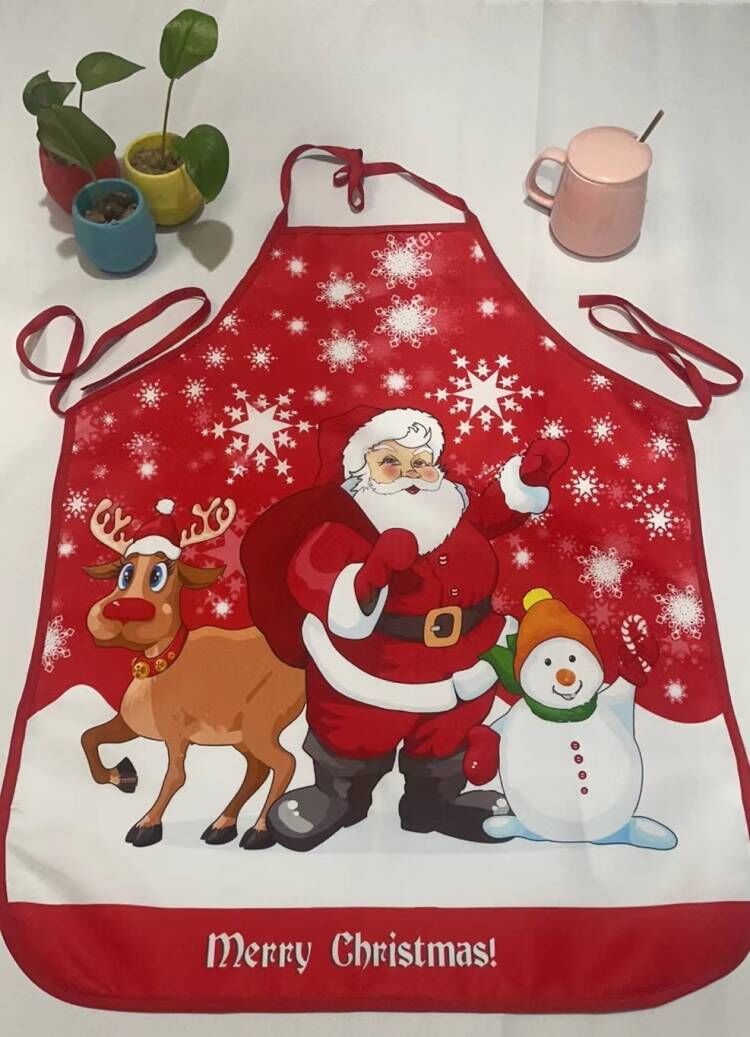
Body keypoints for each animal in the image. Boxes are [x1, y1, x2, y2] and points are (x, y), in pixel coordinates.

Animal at [81, 495, 305, 850]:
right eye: (125, 573)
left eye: (159, 574)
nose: (122, 612)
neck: (161, 666)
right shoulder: (129, 723)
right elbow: (89, 738)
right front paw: (122, 775)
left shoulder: (176, 733)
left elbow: (175, 776)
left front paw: (146, 825)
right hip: (240, 733)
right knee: (256, 769)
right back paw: (222, 825)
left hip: (262, 721)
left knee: (285, 763)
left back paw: (259, 830)